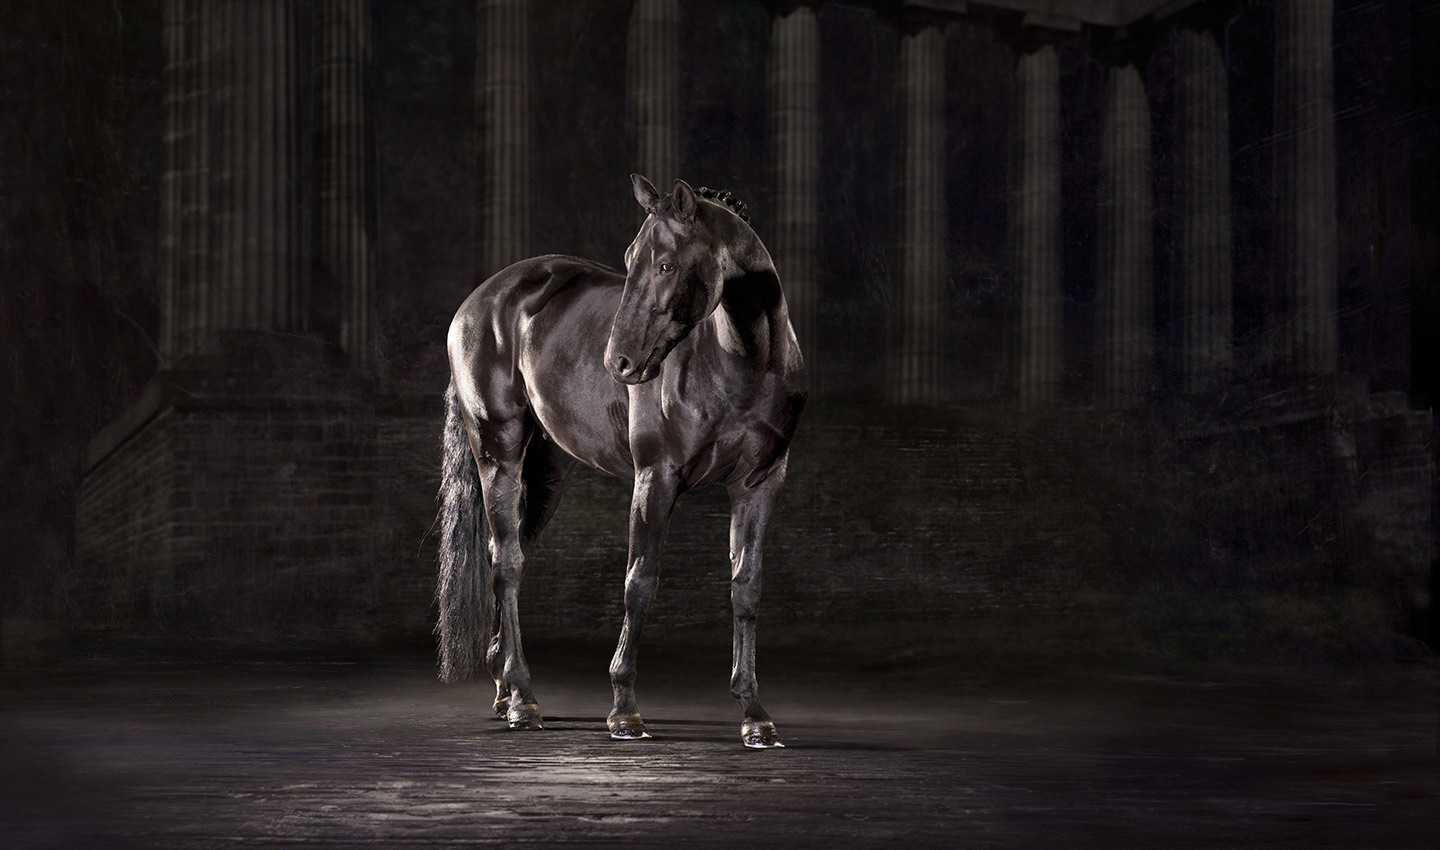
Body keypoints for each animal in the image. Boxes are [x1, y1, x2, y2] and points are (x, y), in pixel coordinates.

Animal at [436, 175, 806, 748]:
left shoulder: (760, 483)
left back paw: (503, 690)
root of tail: (480, 300)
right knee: (507, 563)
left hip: (548, 470)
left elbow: (747, 588)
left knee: (509, 550)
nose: (619, 363)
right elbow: (639, 582)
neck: (741, 362)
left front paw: (754, 715)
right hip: (498, 451)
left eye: (666, 265)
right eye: (630, 259)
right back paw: (522, 700)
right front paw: (624, 710)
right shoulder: (656, 479)